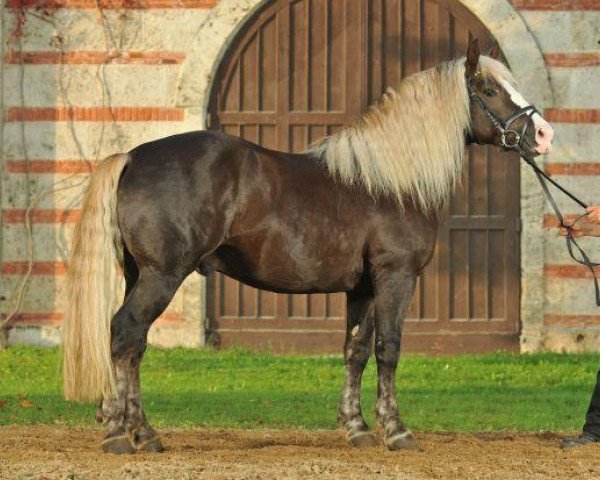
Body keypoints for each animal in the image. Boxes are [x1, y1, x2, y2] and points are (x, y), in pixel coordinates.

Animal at [61, 40, 552, 454]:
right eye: (489, 89)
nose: (544, 135)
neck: (391, 182)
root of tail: (131, 157)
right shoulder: (396, 277)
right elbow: (389, 348)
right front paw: (397, 432)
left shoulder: (363, 288)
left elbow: (356, 350)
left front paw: (357, 429)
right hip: (162, 275)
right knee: (124, 333)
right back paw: (122, 435)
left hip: (138, 275)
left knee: (133, 345)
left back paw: (139, 432)